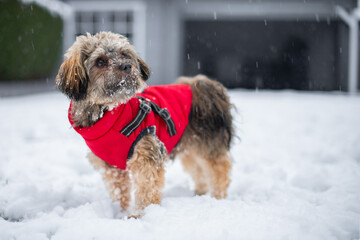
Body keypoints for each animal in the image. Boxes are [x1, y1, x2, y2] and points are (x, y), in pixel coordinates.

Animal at [54, 31, 232, 218]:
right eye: (100, 61)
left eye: (124, 54)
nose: (126, 66)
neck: (108, 114)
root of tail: (199, 85)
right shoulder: (111, 167)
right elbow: (119, 191)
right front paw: (120, 212)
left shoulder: (147, 156)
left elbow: (147, 190)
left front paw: (140, 214)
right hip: (190, 146)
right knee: (199, 170)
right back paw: (200, 193)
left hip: (208, 146)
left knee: (220, 171)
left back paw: (217, 198)